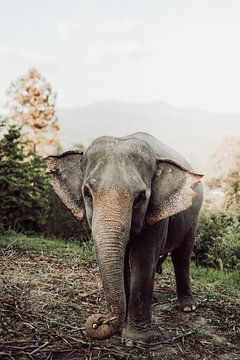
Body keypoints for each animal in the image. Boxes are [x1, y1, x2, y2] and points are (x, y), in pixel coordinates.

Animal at [45, 131, 202, 344]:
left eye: (140, 197)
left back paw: (187, 307)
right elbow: (124, 265)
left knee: (182, 256)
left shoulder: (156, 215)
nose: (100, 320)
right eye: (87, 192)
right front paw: (123, 326)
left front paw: (134, 340)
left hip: (193, 219)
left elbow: (143, 260)